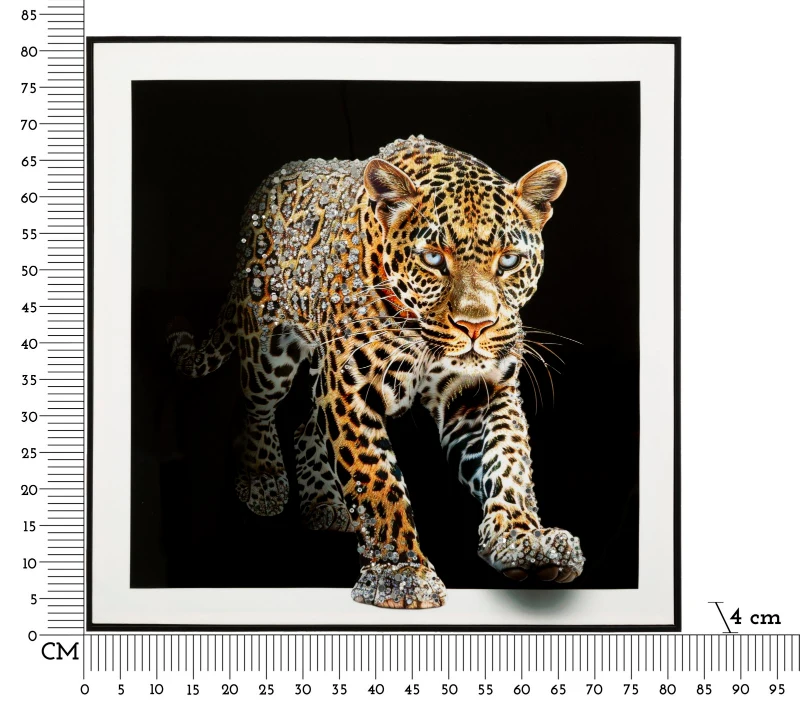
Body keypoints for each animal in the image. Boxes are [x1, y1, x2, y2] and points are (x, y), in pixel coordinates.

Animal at [167, 135, 585, 609]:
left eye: (510, 261)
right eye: (433, 258)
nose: (475, 326)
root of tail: (273, 178)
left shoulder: (480, 390)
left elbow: (508, 460)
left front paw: (524, 542)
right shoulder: (350, 388)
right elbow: (376, 480)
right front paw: (399, 573)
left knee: (306, 424)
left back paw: (325, 504)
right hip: (267, 348)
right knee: (254, 406)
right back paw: (263, 479)